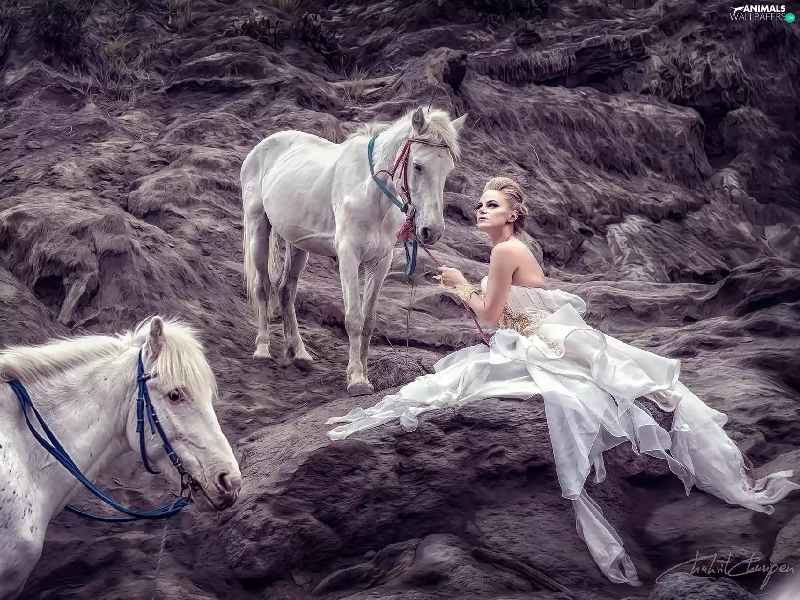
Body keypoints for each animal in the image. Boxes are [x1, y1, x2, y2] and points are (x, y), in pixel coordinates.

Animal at [241, 106, 467, 396]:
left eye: (448, 169)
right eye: (418, 166)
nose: (432, 230)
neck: (371, 193)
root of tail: (262, 146)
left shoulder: (380, 262)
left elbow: (369, 320)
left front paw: (365, 374)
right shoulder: (349, 256)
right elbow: (354, 319)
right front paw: (357, 379)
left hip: (298, 243)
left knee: (285, 291)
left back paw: (299, 353)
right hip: (258, 226)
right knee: (263, 286)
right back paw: (262, 349)